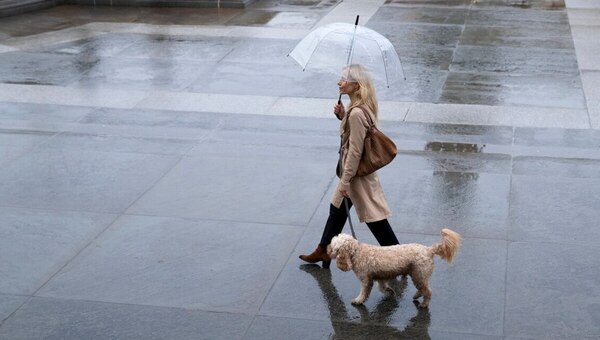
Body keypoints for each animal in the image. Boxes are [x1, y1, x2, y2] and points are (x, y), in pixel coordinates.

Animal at [326, 230, 462, 306]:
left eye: (333, 246)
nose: (327, 249)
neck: (356, 252)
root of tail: (429, 250)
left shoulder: (366, 279)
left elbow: (364, 292)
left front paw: (358, 300)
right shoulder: (380, 276)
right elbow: (382, 287)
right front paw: (389, 291)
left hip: (419, 274)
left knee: (428, 291)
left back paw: (424, 304)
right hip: (418, 275)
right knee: (423, 289)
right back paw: (417, 296)